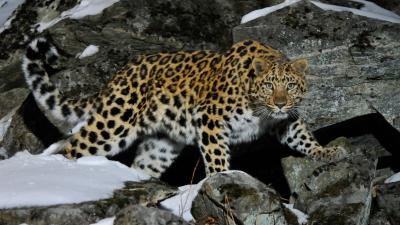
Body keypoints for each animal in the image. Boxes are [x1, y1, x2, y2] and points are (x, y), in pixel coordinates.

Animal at [22, 37, 346, 178]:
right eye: (269, 85)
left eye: (290, 86)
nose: (279, 102)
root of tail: (117, 76)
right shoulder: (211, 118)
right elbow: (216, 156)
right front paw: (222, 178)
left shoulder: (285, 120)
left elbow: (302, 137)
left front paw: (327, 152)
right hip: (115, 123)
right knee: (74, 145)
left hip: (161, 145)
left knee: (142, 165)